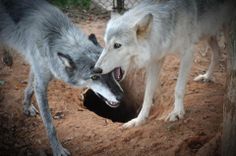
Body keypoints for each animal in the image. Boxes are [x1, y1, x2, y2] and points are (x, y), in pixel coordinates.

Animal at [0, 0, 123, 155]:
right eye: (94, 77)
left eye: (111, 71)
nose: (121, 97)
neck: (53, 38)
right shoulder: (41, 83)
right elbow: (50, 125)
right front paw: (58, 149)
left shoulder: (38, 70)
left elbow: (29, 88)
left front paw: (26, 106)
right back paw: (7, 57)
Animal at [94, 0, 236, 128]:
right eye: (105, 43)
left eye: (117, 45)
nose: (96, 69)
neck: (167, 24)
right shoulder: (156, 60)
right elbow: (148, 94)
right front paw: (139, 120)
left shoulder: (188, 53)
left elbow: (178, 89)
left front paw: (177, 112)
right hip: (209, 33)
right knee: (218, 53)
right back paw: (207, 77)